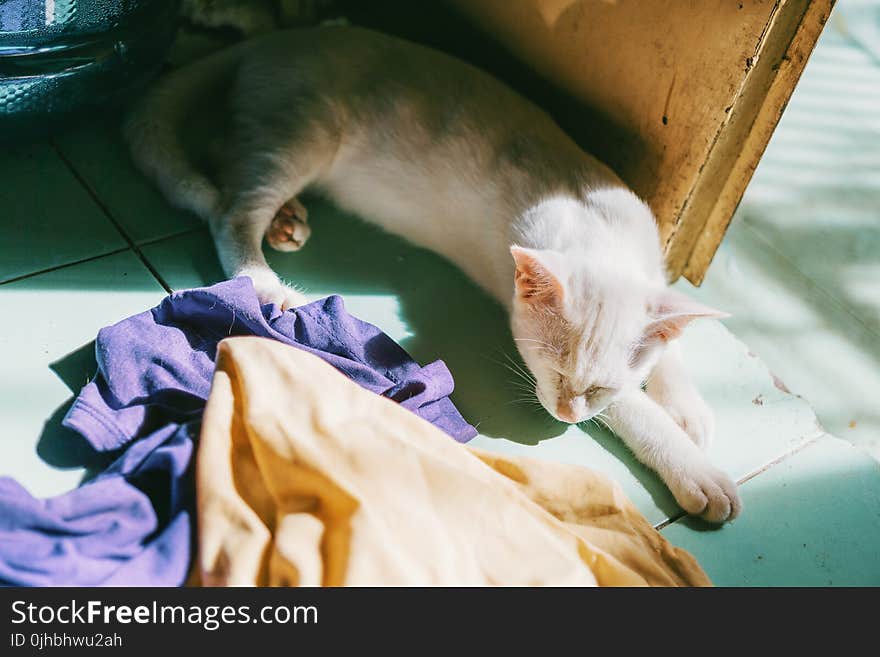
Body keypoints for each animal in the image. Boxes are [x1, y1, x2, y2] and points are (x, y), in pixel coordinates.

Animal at [125, 25, 744, 520]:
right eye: (555, 372)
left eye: (596, 385)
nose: (566, 414)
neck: (600, 231)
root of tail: (280, 37)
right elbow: (634, 411)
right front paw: (696, 470)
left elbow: (670, 343)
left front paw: (687, 407)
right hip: (303, 132)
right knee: (230, 207)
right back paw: (268, 279)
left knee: (230, 158)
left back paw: (286, 220)